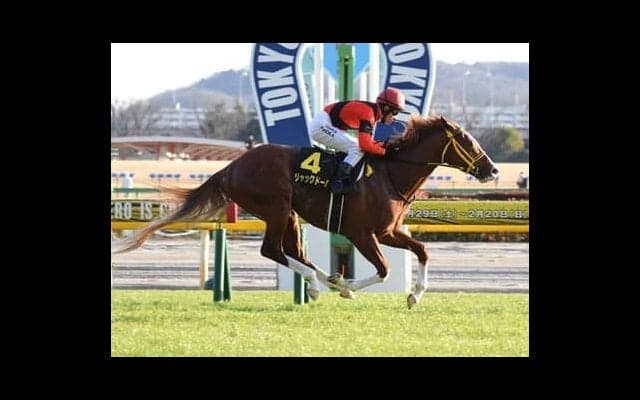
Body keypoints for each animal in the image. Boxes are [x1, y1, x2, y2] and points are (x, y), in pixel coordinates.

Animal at [114, 114, 499, 309]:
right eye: (467, 141)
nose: (492, 169)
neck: (390, 173)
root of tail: (231, 166)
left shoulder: (388, 231)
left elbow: (422, 251)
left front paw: (414, 294)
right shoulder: (363, 233)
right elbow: (384, 269)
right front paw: (349, 286)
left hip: (290, 215)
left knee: (293, 251)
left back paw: (323, 281)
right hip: (276, 207)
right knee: (272, 250)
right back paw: (318, 283)